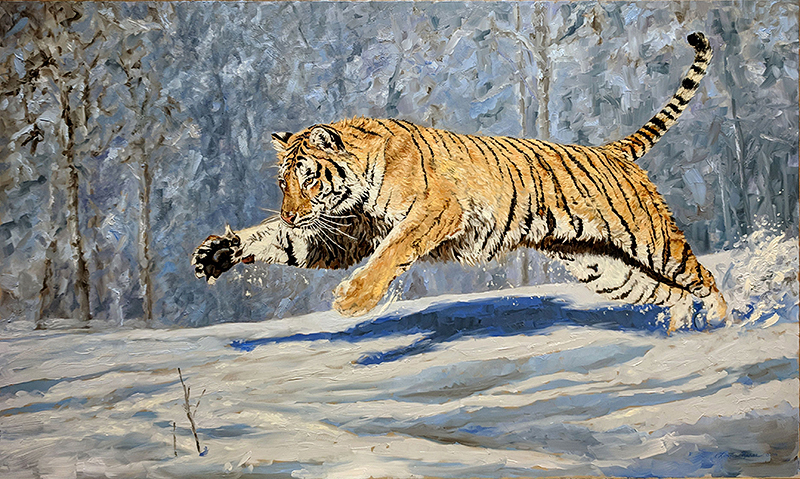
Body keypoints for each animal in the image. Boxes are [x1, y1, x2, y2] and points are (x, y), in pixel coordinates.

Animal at [192, 32, 727, 332]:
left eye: (307, 180)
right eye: (282, 183)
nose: (288, 212)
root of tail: (613, 149)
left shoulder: (433, 211)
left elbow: (392, 250)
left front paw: (351, 300)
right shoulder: (345, 235)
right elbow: (277, 242)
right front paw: (216, 252)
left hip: (652, 241)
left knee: (704, 278)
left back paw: (727, 327)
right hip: (606, 269)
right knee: (676, 294)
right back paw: (681, 332)